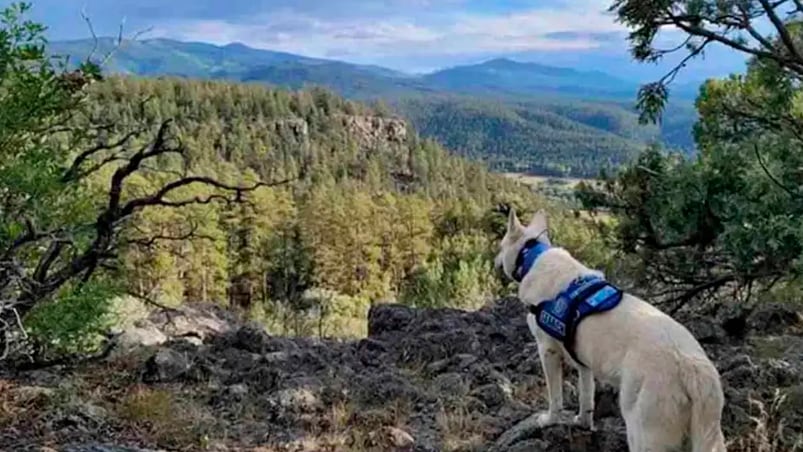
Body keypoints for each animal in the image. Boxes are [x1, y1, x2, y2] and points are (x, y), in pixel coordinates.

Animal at [496, 208, 728, 452]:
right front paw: (583, 423)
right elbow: (586, 398)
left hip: (643, 431)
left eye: (501, 246)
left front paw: (549, 420)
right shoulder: (583, 364)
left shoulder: (547, 351)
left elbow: (555, 398)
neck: (534, 256)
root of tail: (693, 368)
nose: (495, 261)